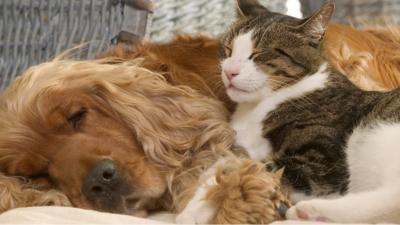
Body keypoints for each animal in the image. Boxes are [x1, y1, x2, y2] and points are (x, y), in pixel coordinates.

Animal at [219, 0, 400, 222]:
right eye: (228, 49)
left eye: (259, 54)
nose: (229, 72)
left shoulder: (321, 164)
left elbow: (259, 164)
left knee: (390, 197)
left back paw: (309, 212)